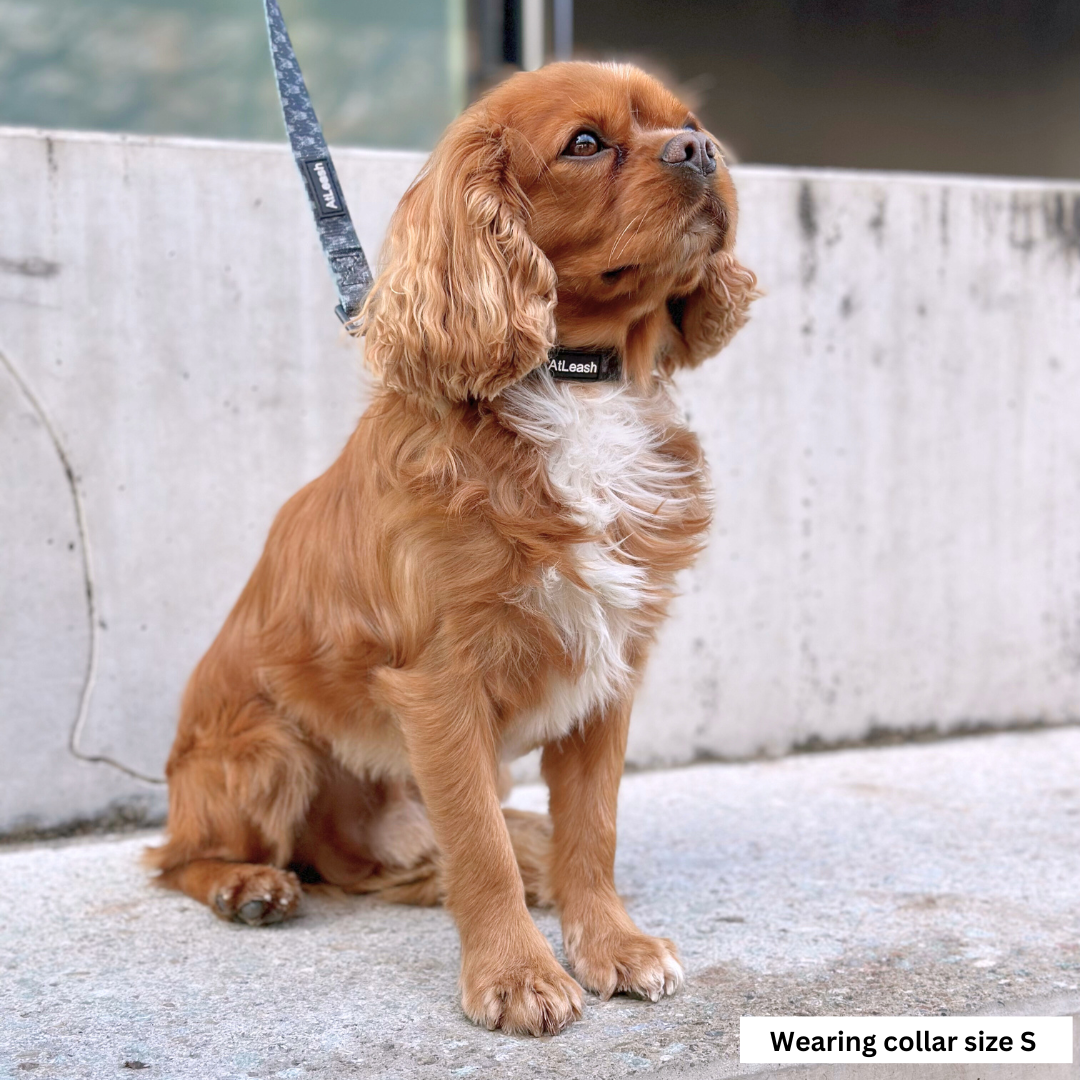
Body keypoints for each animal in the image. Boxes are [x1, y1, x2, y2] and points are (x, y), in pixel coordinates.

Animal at [147, 61, 760, 1036]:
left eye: (690, 122)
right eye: (586, 143)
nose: (702, 151)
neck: (576, 386)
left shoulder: (609, 672)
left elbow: (593, 829)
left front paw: (610, 944)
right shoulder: (440, 686)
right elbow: (478, 845)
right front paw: (516, 975)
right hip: (267, 751)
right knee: (177, 857)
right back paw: (250, 886)